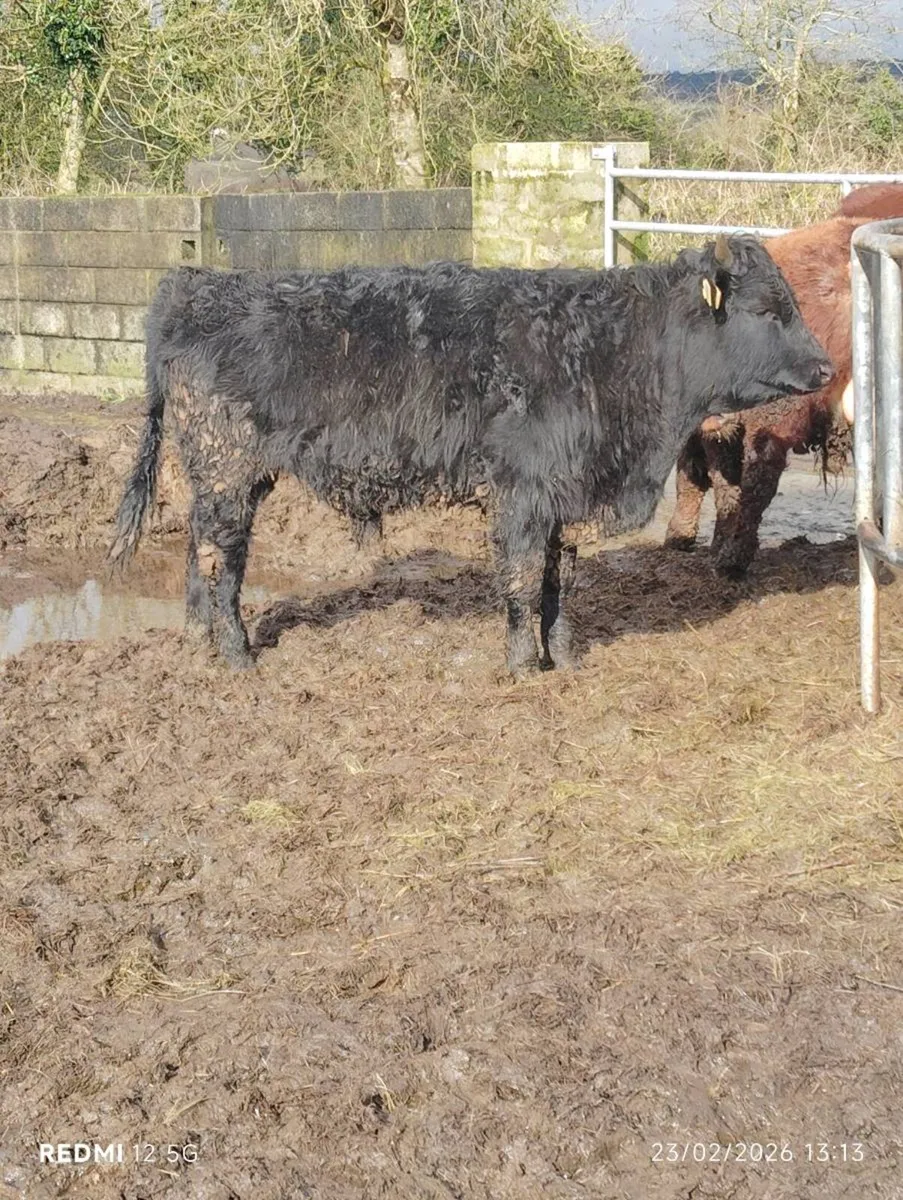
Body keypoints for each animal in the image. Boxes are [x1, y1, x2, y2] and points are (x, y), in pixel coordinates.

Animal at [109, 236, 832, 676]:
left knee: (195, 548)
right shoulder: (520, 493)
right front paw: (522, 666)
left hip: (226, 475)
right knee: (220, 559)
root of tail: (197, 287)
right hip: (227, 467)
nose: (826, 366)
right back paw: (235, 654)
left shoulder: (564, 495)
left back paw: (195, 639)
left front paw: (565, 658)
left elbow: (559, 582)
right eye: (767, 310)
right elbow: (521, 580)